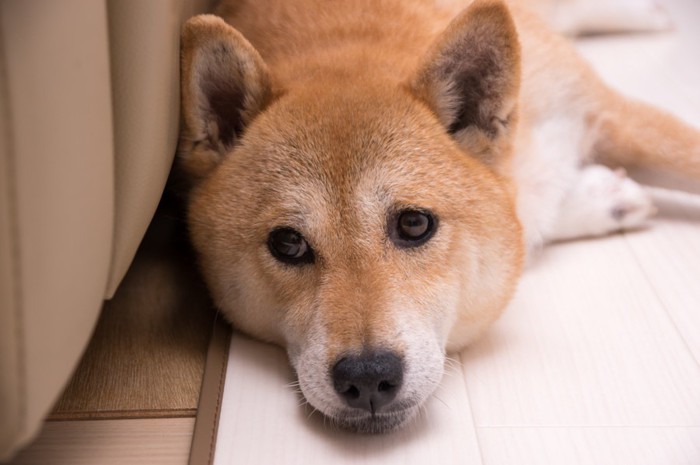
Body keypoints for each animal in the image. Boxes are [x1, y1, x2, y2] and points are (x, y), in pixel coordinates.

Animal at [176, 0, 700, 432]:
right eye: (287, 244)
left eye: (414, 224)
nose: (368, 377)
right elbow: (530, 212)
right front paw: (602, 196)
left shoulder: (607, 112)